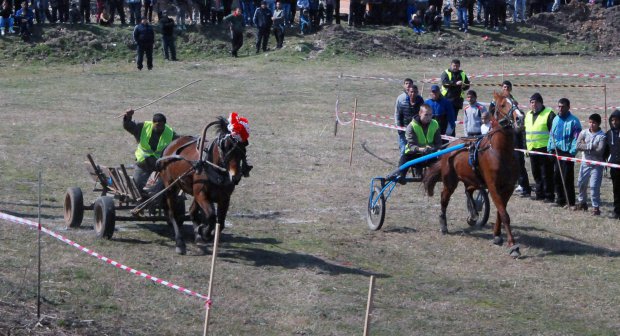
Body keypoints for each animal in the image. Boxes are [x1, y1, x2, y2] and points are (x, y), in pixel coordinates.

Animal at [156, 118, 246, 255]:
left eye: (244, 145)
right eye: (226, 146)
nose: (235, 176)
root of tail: (170, 145)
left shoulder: (224, 199)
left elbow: (221, 223)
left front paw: (203, 233)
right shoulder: (201, 194)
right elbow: (211, 216)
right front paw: (204, 231)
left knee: (192, 212)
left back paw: (198, 236)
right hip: (171, 186)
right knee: (173, 214)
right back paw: (180, 243)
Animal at [422, 91, 524, 258]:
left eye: (515, 102)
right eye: (503, 104)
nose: (520, 118)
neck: (500, 151)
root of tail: (450, 145)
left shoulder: (508, 187)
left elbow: (500, 212)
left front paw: (497, 235)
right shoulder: (493, 186)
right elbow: (504, 214)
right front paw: (513, 245)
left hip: (472, 179)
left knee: (468, 190)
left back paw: (473, 214)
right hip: (450, 181)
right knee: (444, 198)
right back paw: (444, 224)